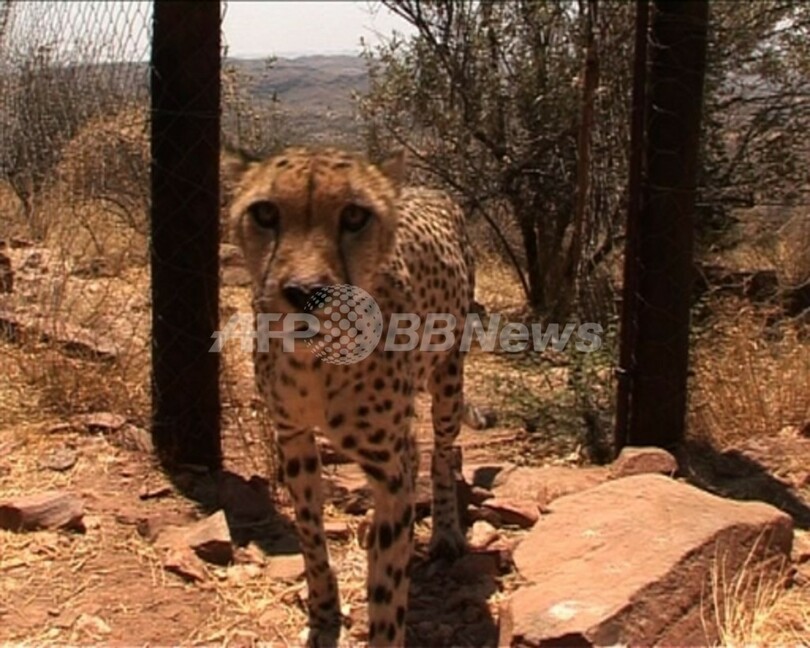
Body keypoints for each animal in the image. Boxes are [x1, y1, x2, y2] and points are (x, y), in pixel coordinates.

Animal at [227, 148, 476, 648]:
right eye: (265, 213)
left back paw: (445, 532)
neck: (316, 360)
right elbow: (309, 531)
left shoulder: (389, 466)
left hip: (448, 379)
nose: (305, 292)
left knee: (442, 454)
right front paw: (324, 614)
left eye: (356, 216)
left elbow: (388, 583)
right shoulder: (294, 436)